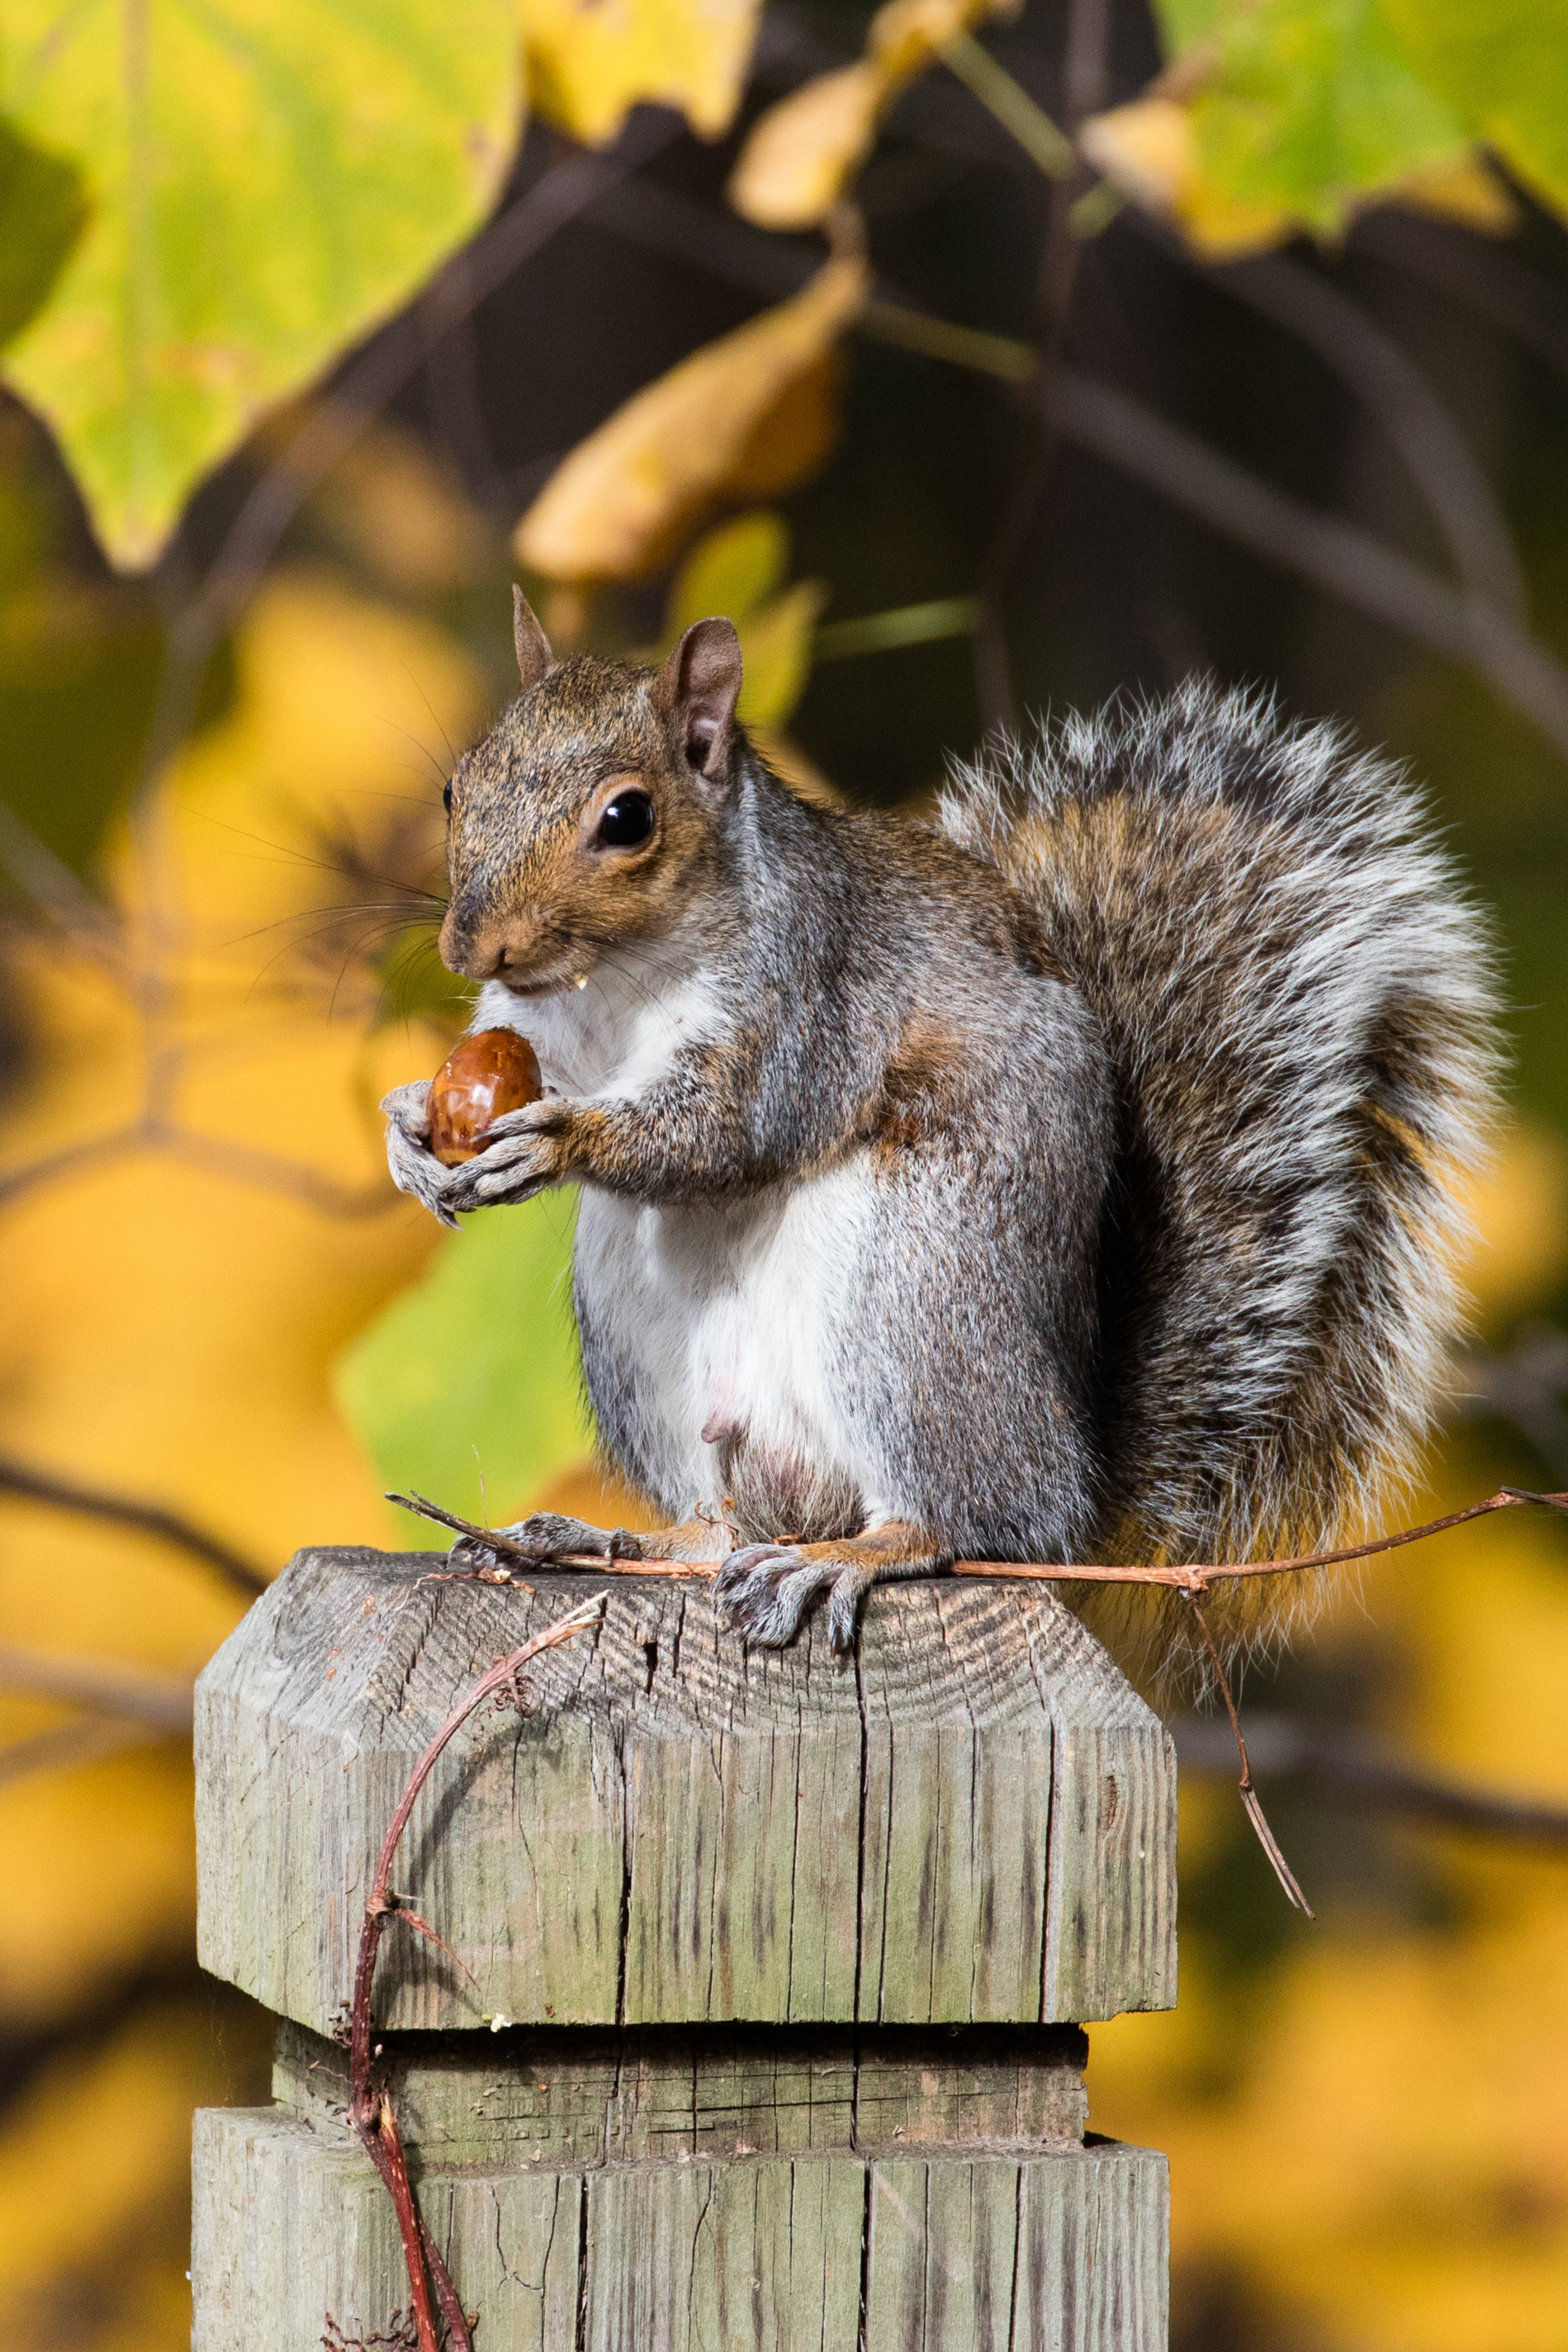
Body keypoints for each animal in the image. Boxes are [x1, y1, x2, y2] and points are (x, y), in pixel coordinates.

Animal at [382, 587, 1497, 1661]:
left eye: (626, 818)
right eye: (455, 788)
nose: (469, 947)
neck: (616, 976)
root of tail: (1077, 1468)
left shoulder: (807, 996)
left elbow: (728, 1129)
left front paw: (557, 1141)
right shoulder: (543, 1034)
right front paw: (409, 1130)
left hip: (914, 1298)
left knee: (978, 1518)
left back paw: (845, 1559)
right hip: (644, 1337)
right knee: (720, 1526)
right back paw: (609, 1537)